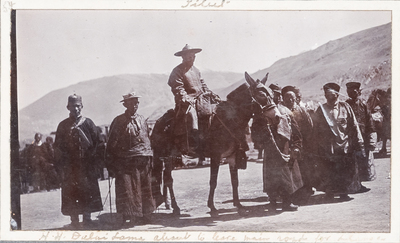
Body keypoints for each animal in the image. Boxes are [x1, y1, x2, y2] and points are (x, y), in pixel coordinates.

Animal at [150, 71, 278, 216]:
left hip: (172, 156)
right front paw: (212, 207)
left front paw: (238, 204)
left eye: (271, 94)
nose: (277, 116)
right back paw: (175, 207)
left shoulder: (232, 156)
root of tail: (158, 121)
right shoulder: (216, 156)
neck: (229, 119)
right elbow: (213, 181)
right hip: (165, 156)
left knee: (166, 179)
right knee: (167, 179)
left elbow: (235, 181)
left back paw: (169, 205)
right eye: (261, 95)